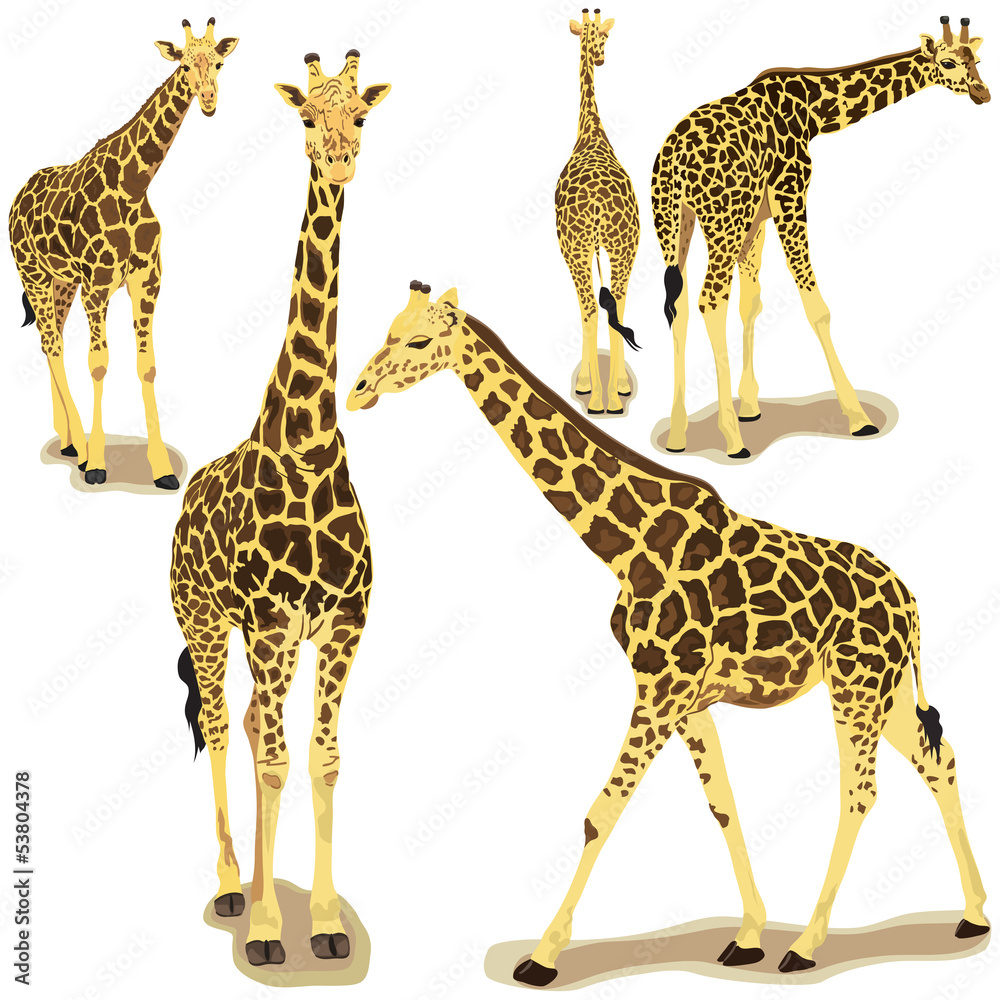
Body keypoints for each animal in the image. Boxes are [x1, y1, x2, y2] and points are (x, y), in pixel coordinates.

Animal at [8, 19, 239, 488]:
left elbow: (146, 365)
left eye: (219, 63)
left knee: (52, 339)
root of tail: (18, 195)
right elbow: (99, 362)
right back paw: (79, 447)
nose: (209, 101)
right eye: (184, 65)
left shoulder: (146, 282)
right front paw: (97, 464)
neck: (134, 185)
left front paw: (162, 470)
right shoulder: (98, 286)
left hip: (62, 282)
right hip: (32, 274)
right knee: (52, 343)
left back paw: (67, 439)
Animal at [347, 283, 989, 986]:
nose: (357, 392)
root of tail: (911, 602)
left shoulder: (661, 689)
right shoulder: (684, 697)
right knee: (939, 760)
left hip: (857, 681)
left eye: (416, 340)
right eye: (386, 328)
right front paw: (748, 934)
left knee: (860, 792)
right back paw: (973, 915)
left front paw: (543, 956)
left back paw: (808, 944)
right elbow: (723, 805)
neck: (625, 546)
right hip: (887, 688)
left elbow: (600, 813)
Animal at [653, 16, 990, 459]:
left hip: (675, 224)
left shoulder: (758, 216)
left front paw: (750, 405)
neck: (815, 113)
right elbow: (815, 305)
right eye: (948, 62)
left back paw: (678, 434)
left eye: (978, 60)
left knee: (679, 305)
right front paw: (858, 417)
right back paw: (732, 440)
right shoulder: (790, 194)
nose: (983, 94)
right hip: (722, 221)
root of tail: (673, 162)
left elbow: (751, 303)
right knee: (709, 300)